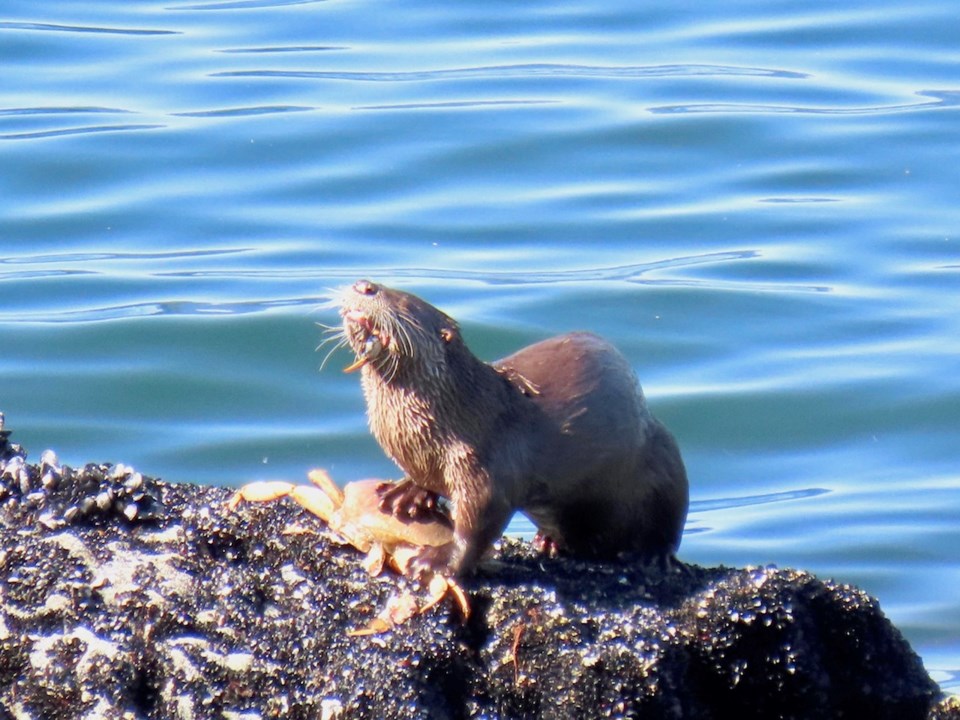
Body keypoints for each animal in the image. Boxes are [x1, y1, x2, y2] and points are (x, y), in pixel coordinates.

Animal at [338, 278, 688, 576]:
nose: (364, 285)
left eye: (405, 302)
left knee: (671, 515)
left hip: (662, 455)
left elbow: (478, 524)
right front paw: (406, 493)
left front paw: (438, 560)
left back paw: (654, 556)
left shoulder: (484, 464)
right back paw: (548, 540)